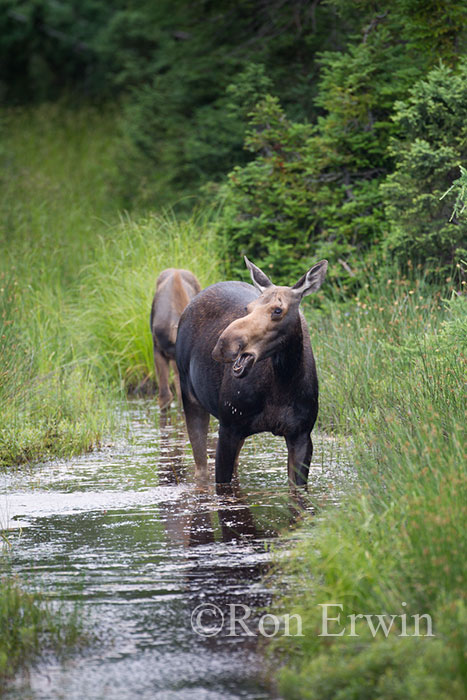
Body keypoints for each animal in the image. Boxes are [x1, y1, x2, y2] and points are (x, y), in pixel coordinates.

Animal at [176, 258, 330, 486]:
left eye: (278, 310)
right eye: (247, 308)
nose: (223, 344)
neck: (284, 383)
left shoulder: (301, 434)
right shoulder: (229, 427)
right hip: (191, 398)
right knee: (201, 471)